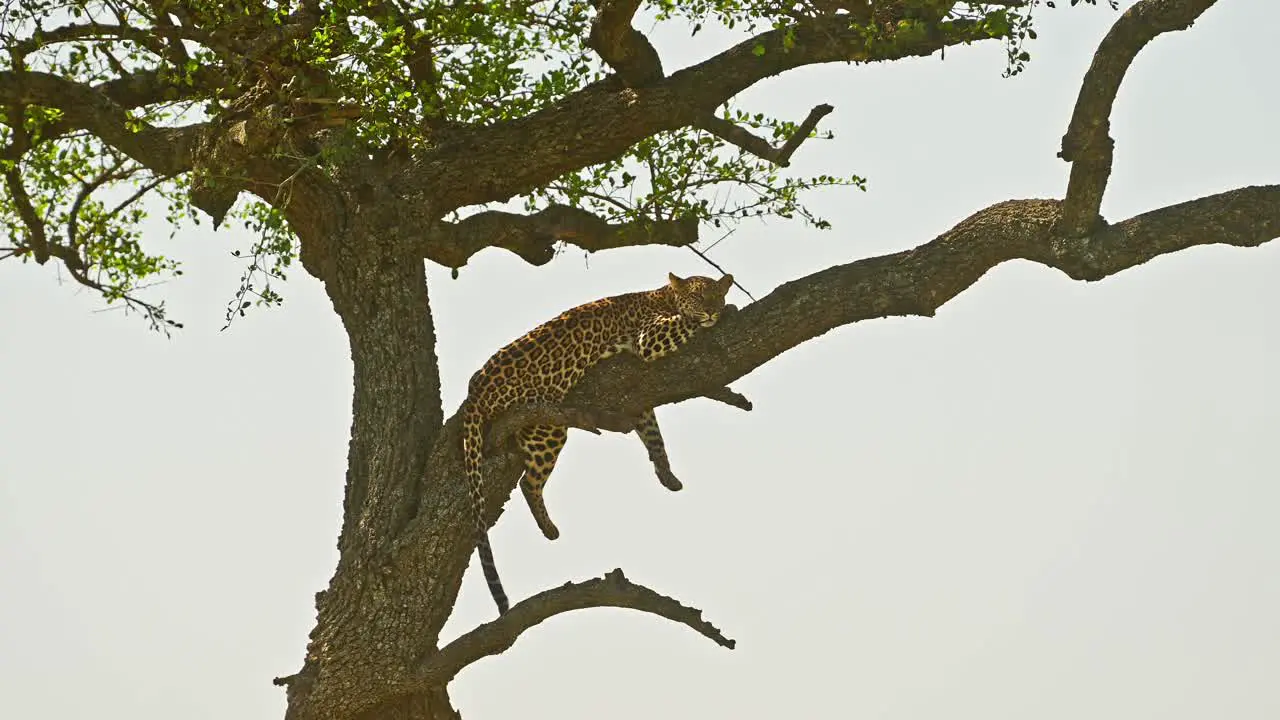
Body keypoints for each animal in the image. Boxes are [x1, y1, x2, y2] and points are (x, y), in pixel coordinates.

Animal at [465, 271, 737, 614]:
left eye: (716, 295)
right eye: (700, 297)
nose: (714, 310)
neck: (665, 296)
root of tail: (475, 392)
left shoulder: (638, 399)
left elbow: (654, 435)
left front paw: (666, 474)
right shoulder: (650, 338)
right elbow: (686, 323)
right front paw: (726, 313)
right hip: (548, 425)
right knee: (529, 482)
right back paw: (549, 528)